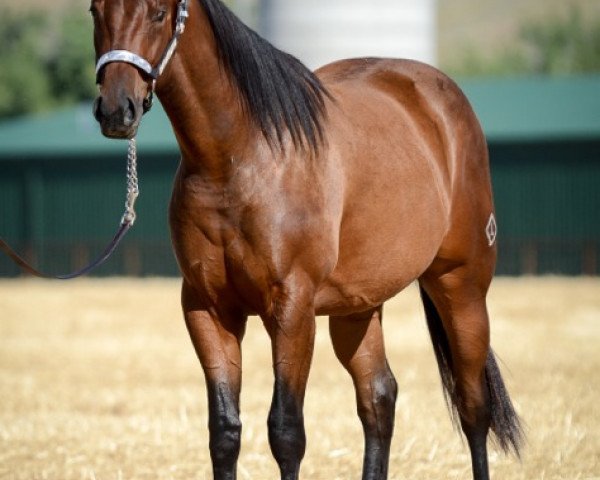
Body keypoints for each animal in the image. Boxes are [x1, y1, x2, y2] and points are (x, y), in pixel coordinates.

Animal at [90, 1, 520, 478]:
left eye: (158, 13)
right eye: (94, 10)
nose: (116, 110)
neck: (238, 159)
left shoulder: (293, 309)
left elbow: (286, 432)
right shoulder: (207, 308)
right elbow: (224, 432)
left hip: (462, 288)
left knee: (473, 407)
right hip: (358, 306)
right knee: (378, 397)